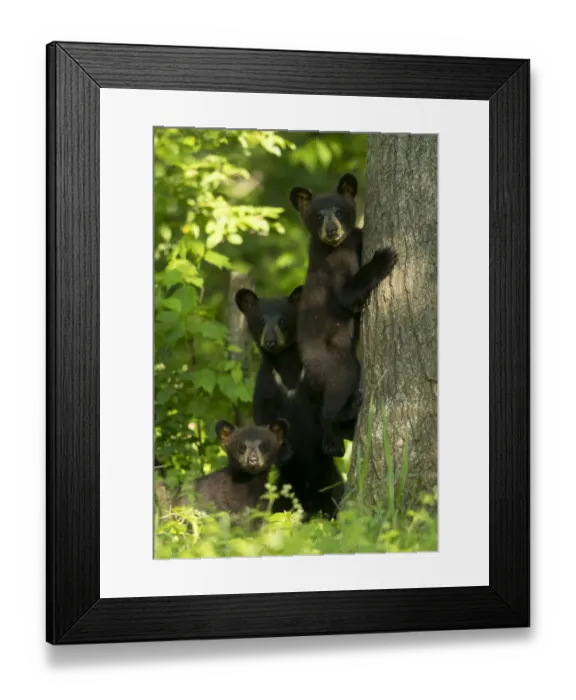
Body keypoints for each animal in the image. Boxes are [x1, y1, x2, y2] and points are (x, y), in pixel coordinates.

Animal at [289, 172, 398, 457]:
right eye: (319, 215)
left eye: (339, 211)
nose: (331, 230)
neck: (337, 245)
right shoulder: (334, 264)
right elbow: (347, 294)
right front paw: (384, 257)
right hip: (331, 360)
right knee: (337, 391)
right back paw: (342, 419)